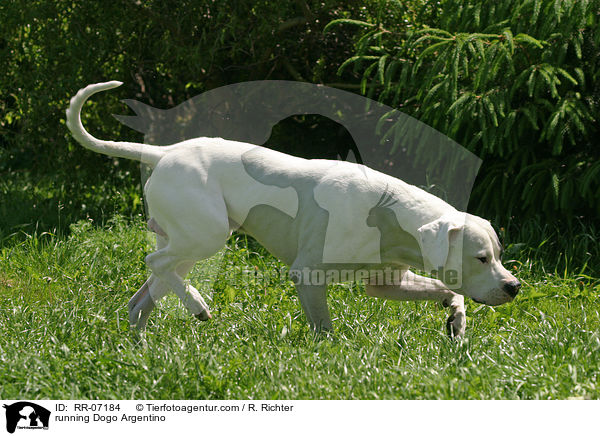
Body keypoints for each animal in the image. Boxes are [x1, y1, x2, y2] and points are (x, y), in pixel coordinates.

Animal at [67, 81, 520, 338]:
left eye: (499, 256)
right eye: (481, 258)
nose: (515, 286)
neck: (390, 215)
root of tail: (163, 152)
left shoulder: (387, 283)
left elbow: (448, 291)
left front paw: (457, 322)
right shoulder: (309, 275)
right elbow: (324, 328)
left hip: (188, 246)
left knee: (146, 293)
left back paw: (143, 345)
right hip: (207, 236)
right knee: (154, 261)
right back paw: (197, 305)